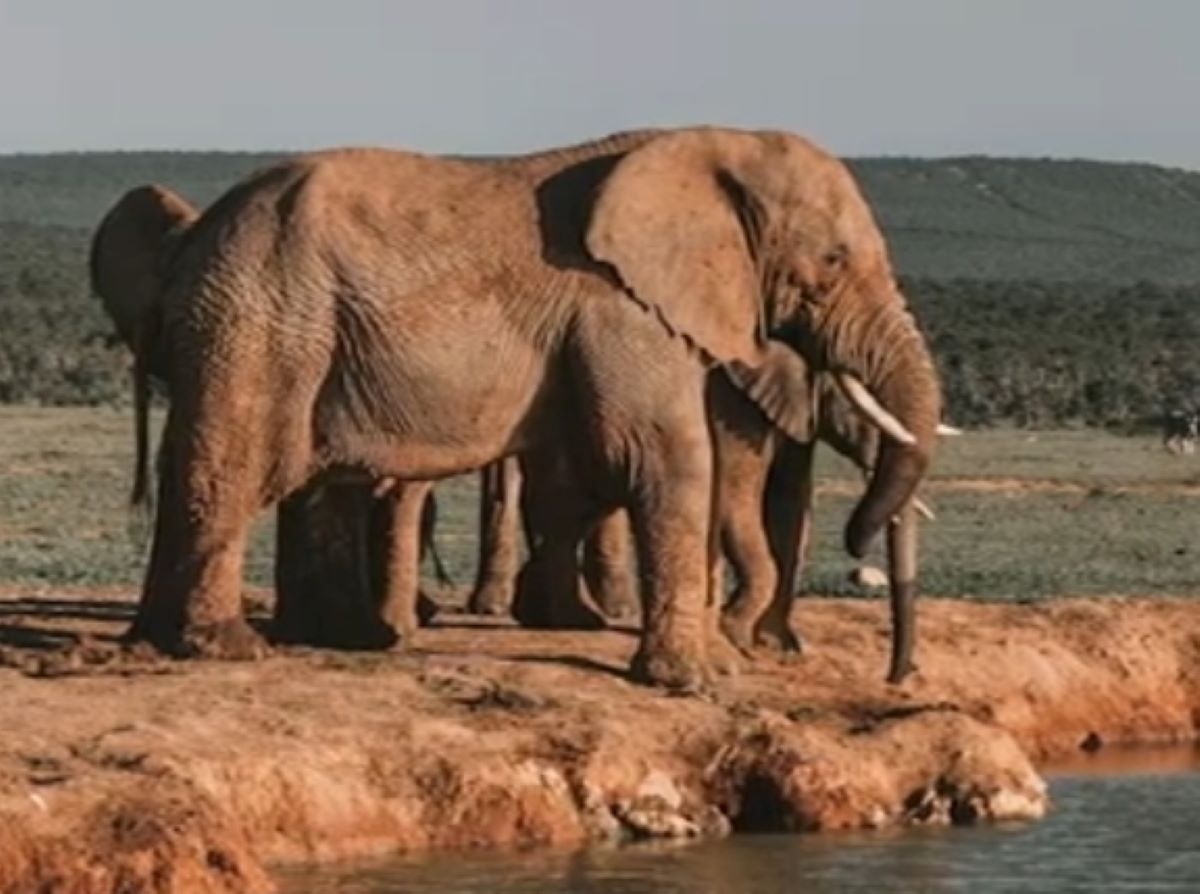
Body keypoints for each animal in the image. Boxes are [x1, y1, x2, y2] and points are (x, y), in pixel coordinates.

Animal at [126, 125, 940, 686]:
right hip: (264, 316)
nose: (901, 677)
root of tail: (192, 240)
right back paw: (229, 648)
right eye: (832, 261)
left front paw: (715, 665)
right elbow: (665, 453)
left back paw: (192, 642)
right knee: (238, 465)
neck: (711, 143)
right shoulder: (622, 307)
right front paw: (697, 681)